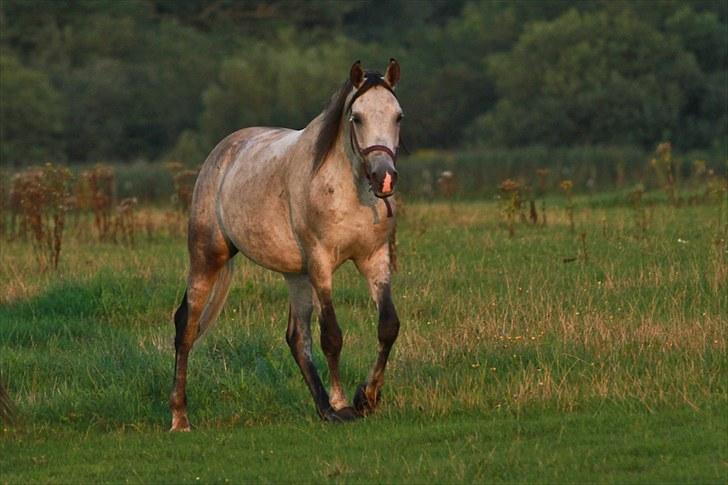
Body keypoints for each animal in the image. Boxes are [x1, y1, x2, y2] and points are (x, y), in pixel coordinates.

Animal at [171, 58, 404, 430]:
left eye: (398, 116)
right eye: (357, 117)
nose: (384, 178)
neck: (347, 188)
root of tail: (222, 152)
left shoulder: (374, 259)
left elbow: (387, 327)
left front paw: (365, 398)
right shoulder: (322, 263)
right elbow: (332, 336)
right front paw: (344, 405)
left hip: (296, 274)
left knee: (297, 338)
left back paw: (323, 408)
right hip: (207, 257)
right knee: (186, 326)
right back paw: (180, 417)